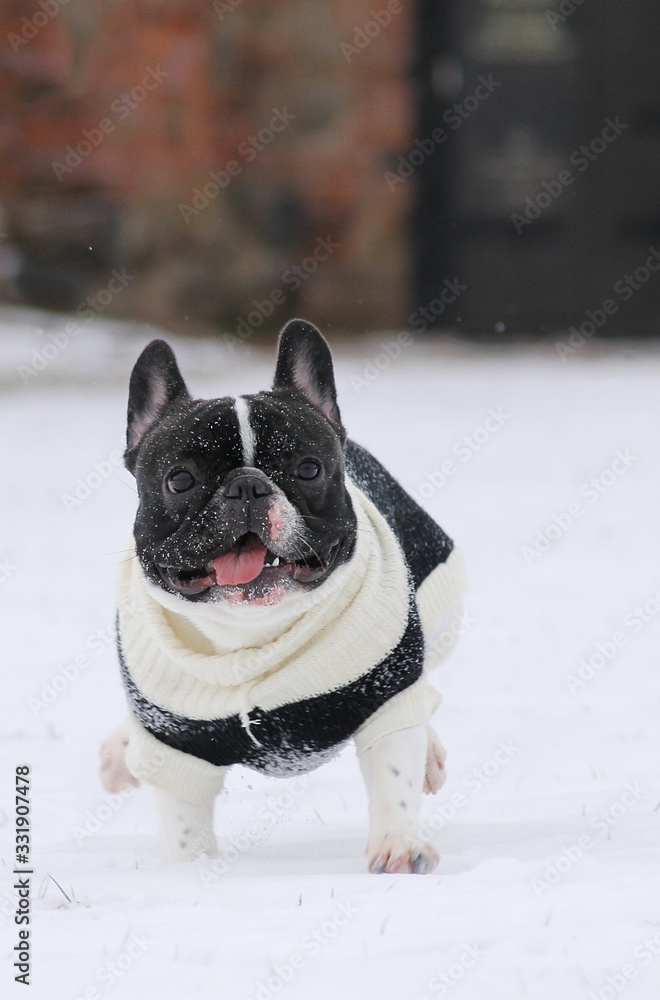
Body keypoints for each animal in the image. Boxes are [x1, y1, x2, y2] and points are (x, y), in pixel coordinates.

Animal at [100, 319, 467, 874]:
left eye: (309, 469)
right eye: (180, 479)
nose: (247, 487)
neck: (250, 633)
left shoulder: (387, 692)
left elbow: (393, 773)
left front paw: (399, 845)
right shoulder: (172, 744)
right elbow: (185, 824)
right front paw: (193, 873)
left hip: (440, 614)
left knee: (427, 692)